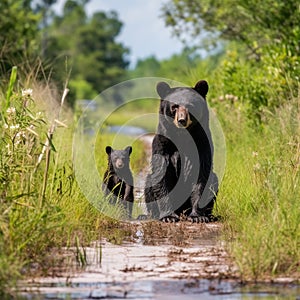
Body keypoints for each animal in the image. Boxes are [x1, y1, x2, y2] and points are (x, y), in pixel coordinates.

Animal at [145, 80, 218, 223]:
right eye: (174, 107)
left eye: (190, 106)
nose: (181, 120)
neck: (183, 136)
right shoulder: (163, 143)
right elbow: (162, 174)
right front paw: (168, 217)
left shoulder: (202, 144)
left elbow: (202, 175)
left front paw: (197, 216)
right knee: (149, 181)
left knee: (214, 180)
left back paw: (210, 215)